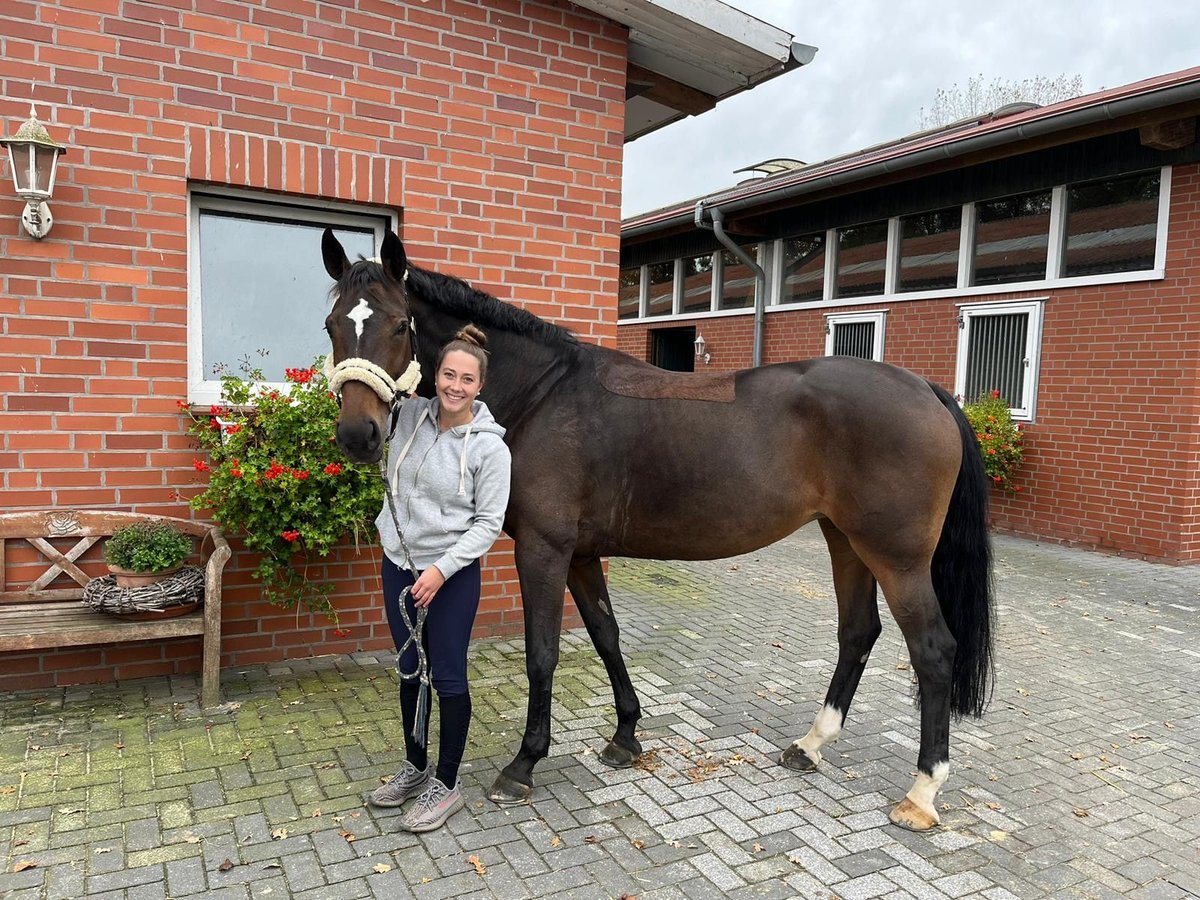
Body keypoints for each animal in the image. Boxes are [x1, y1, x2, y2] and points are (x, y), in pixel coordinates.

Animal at [319, 229, 993, 835]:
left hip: (897, 558)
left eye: (399, 326)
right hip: (844, 540)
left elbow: (543, 654)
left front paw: (524, 763)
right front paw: (624, 736)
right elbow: (606, 636)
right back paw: (810, 744)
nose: (358, 435)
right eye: (331, 326)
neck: (543, 396)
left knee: (932, 650)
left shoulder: (544, 550)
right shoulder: (580, 555)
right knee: (858, 632)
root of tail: (927, 390)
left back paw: (922, 794)